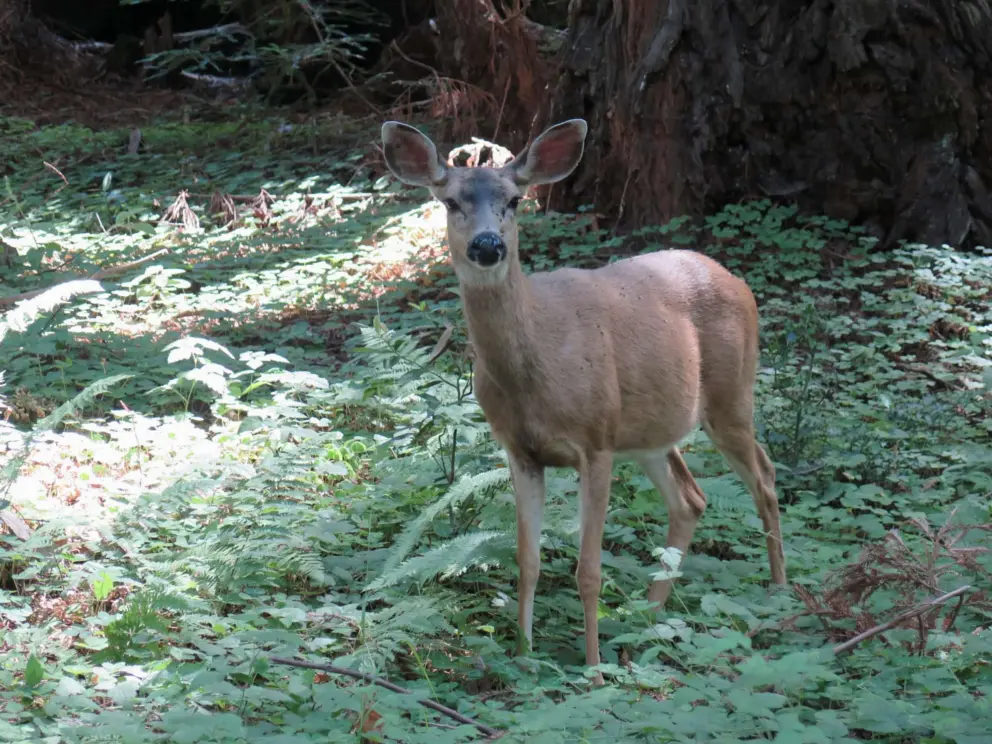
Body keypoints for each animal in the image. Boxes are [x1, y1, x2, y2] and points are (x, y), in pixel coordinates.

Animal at [380, 118, 787, 685]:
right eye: (449, 200)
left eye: (515, 199)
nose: (487, 245)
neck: (533, 373)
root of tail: (738, 280)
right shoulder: (520, 451)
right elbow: (527, 560)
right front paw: (524, 657)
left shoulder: (594, 443)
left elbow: (588, 569)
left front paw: (592, 672)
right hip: (647, 431)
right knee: (691, 497)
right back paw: (647, 618)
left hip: (730, 394)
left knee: (765, 478)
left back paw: (778, 591)